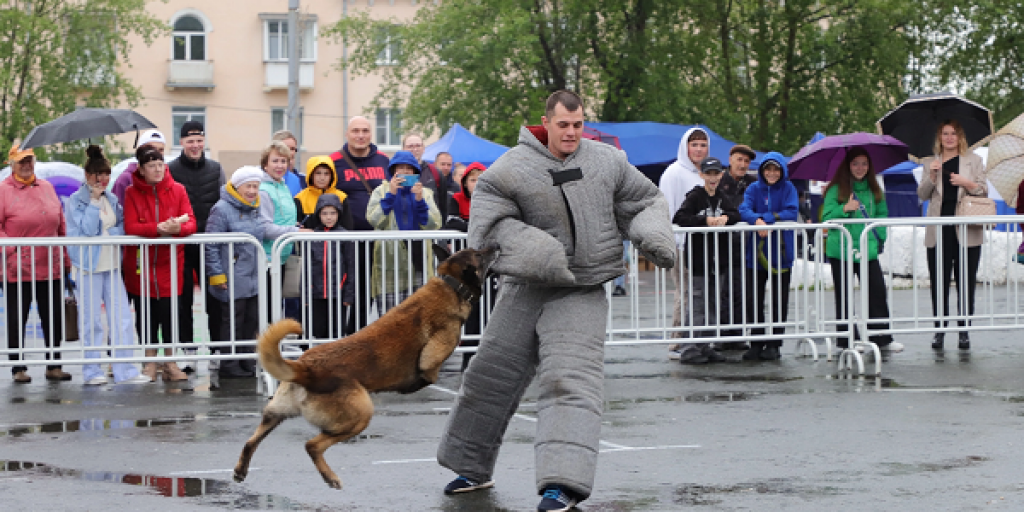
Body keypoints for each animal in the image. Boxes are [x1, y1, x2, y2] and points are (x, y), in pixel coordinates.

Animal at [234, 245, 493, 489]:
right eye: (480, 255)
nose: (496, 246)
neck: (452, 285)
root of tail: (306, 369)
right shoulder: (432, 356)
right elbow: (429, 370)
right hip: (360, 414)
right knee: (312, 445)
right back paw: (330, 477)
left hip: (277, 413)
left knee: (249, 442)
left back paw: (240, 471)